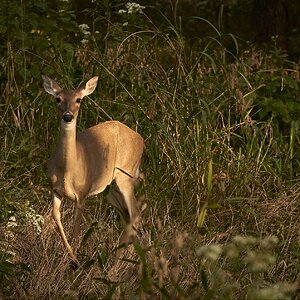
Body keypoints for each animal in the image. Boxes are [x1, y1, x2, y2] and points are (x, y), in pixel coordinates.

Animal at [42, 75, 144, 264]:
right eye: (57, 99)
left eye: (79, 99)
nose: (68, 116)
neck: (67, 170)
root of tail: (140, 138)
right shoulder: (54, 189)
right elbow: (56, 217)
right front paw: (71, 258)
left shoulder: (82, 194)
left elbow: (76, 227)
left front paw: (74, 261)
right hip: (111, 188)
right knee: (127, 216)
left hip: (126, 176)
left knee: (135, 213)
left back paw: (116, 264)